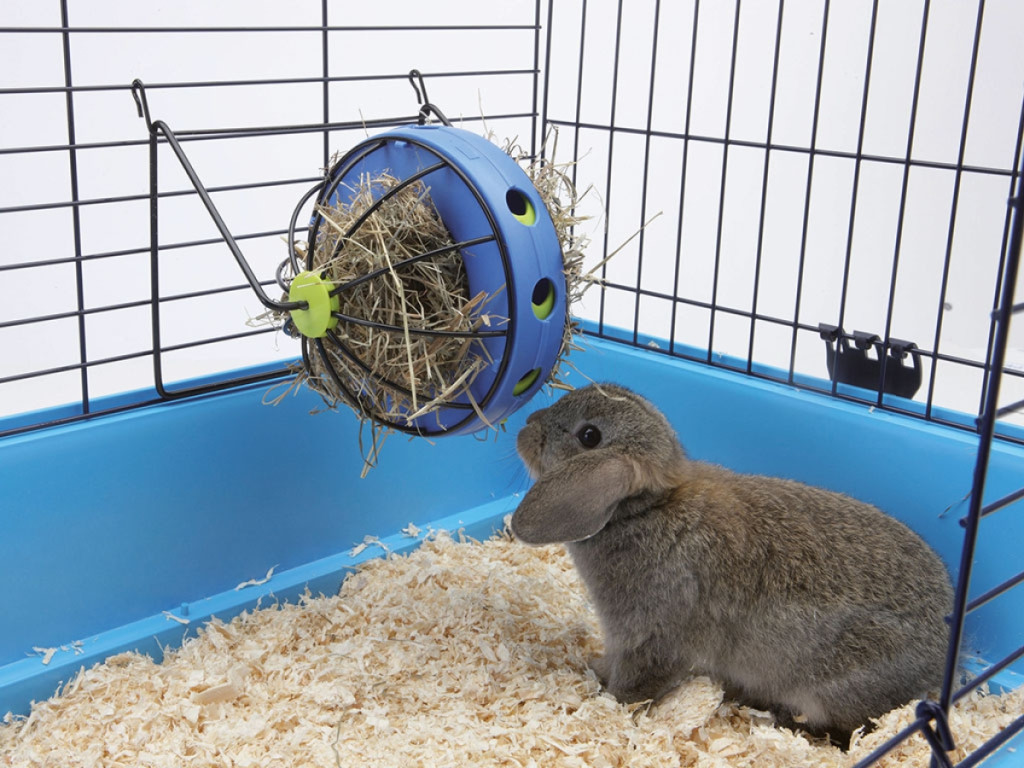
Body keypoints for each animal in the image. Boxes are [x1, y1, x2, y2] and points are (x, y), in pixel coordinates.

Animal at [510, 383, 953, 747]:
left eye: (589, 436)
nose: (527, 426)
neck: (645, 509)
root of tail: (941, 656)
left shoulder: (654, 639)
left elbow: (636, 683)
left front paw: (609, 701)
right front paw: (594, 668)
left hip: (832, 688)